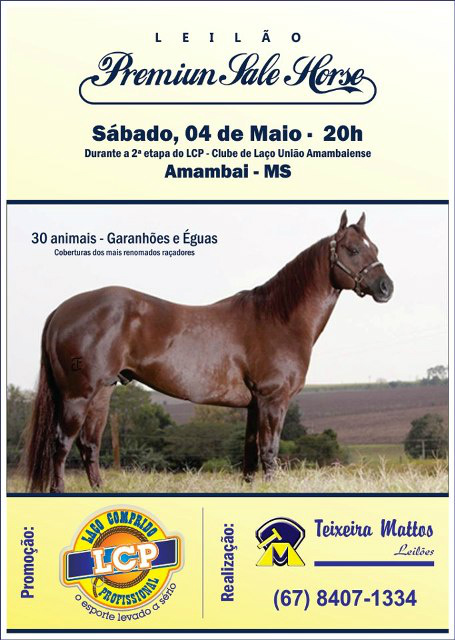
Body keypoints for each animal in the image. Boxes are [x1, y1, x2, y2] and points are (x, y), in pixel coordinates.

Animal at [24, 211, 393, 492]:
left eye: (374, 247)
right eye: (352, 249)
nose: (386, 287)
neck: (278, 317)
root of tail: (62, 311)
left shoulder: (254, 404)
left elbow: (250, 453)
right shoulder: (273, 399)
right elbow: (269, 450)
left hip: (103, 392)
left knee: (89, 444)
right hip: (78, 394)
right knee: (62, 443)